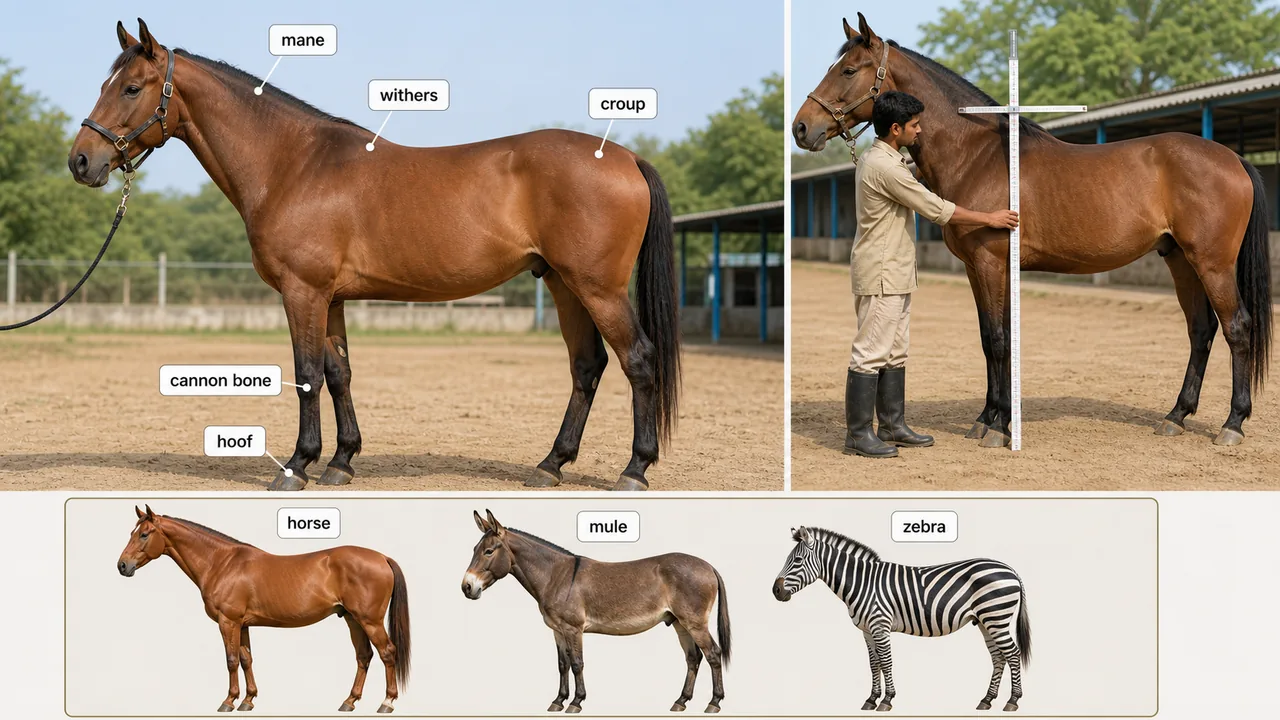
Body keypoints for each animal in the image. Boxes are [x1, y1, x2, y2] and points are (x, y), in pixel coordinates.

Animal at [70, 19, 680, 491]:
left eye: (131, 88)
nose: (81, 160)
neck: (294, 164)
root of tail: (625, 157)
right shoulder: (331, 297)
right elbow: (338, 373)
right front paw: (341, 462)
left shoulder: (303, 292)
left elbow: (307, 374)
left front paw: (297, 466)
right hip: (562, 283)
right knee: (588, 367)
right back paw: (551, 464)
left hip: (597, 288)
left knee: (638, 360)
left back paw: (634, 470)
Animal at [116, 505, 411, 713]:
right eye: (132, 533)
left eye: (144, 534)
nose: (122, 565)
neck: (221, 563)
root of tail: (382, 557)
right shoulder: (243, 624)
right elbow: (246, 659)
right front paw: (248, 700)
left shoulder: (228, 621)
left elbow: (231, 660)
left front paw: (228, 701)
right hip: (352, 619)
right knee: (364, 656)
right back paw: (349, 701)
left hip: (369, 620)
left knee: (387, 653)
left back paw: (387, 702)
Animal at [462, 510, 731, 714]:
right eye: (474, 549)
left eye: (488, 551)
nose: (466, 587)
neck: (555, 577)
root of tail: (709, 565)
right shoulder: (557, 630)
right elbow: (562, 664)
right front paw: (558, 701)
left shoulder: (573, 629)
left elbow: (577, 663)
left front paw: (576, 702)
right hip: (678, 622)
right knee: (693, 658)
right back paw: (681, 701)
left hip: (694, 622)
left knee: (713, 654)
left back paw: (714, 703)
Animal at [771, 526, 1031, 712]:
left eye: (796, 561)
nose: (775, 591)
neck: (862, 583)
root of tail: (1011, 569)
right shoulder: (867, 630)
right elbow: (873, 663)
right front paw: (871, 699)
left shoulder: (879, 625)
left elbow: (886, 662)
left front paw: (887, 700)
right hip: (987, 621)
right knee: (998, 657)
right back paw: (987, 700)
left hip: (996, 617)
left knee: (1012, 654)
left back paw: (1013, 701)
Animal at [793, 13, 1273, 449]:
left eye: (848, 70)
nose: (802, 127)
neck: (978, 155)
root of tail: (1233, 158)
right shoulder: (978, 269)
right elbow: (990, 339)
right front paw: (987, 419)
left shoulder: (991, 263)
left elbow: (999, 340)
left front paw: (1000, 427)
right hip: (1179, 260)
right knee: (1201, 331)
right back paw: (1176, 416)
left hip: (1211, 263)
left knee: (1237, 328)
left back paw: (1232, 425)